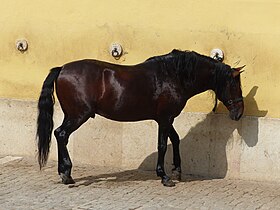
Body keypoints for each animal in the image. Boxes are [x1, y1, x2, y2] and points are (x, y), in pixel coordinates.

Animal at [36, 49, 244, 187]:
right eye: (234, 85)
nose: (239, 113)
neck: (174, 75)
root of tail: (62, 68)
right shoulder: (165, 118)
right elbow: (162, 145)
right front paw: (164, 177)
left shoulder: (166, 118)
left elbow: (175, 140)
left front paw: (177, 171)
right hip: (78, 115)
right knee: (61, 134)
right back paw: (67, 175)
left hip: (73, 115)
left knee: (60, 135)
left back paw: (65, 173)